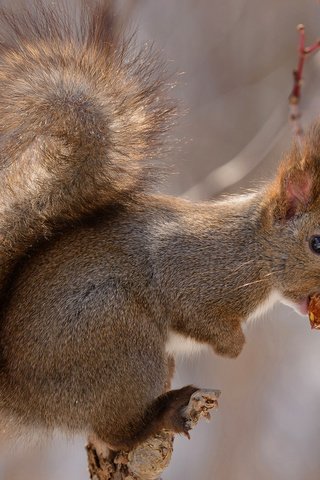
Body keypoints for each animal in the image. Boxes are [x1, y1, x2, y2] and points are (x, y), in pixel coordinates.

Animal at [0, 0, 318, 452]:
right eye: (317, 243)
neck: (253, 248)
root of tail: (26, 399)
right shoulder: (193, 271)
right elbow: (197, 313)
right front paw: (236, 346)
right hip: (117, 335)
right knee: (116, 432)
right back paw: (162, 414)